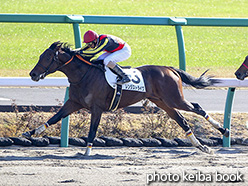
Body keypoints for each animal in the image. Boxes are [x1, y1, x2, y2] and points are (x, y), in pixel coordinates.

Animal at [22, 41, 229, 155]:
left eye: (46, 57)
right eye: (40, 56)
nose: (33, 74)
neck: (83, 75)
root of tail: (169, 68)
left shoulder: (97, 108)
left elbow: (92, 130)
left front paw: (87, 151)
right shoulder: (73, 103)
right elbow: (54, 118)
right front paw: (30, 133)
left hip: (174, 99)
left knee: (197, 107)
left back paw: (224, 130)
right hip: (163, 102)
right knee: (182, 121)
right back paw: (202, 147)